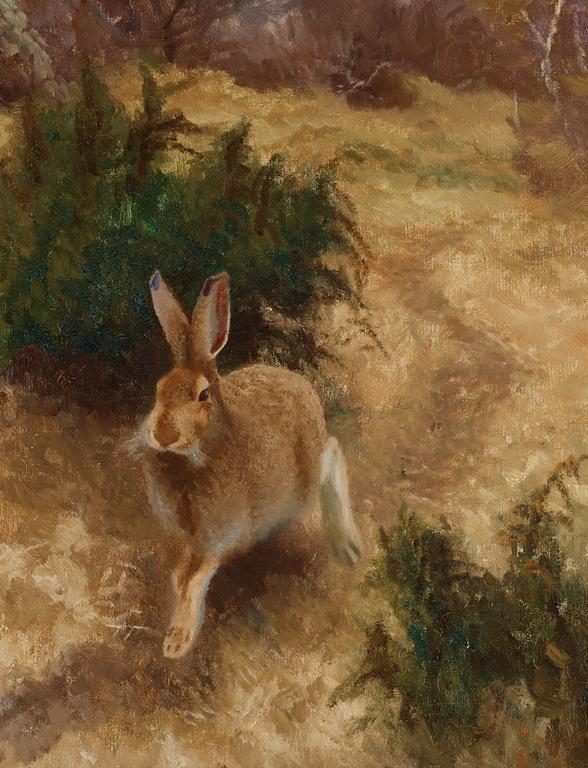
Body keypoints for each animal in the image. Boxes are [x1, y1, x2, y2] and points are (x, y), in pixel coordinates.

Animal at [136, 270, 363, 659]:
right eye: (159, 389)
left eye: (203, 395)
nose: (163, 435)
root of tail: (300, 383)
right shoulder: (193, 538)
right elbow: (179, 576)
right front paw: (175, 633)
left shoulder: (221, 535)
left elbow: (195, 579)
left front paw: (179, 640)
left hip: (303, 484)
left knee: (333, 453)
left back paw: (347, 546)